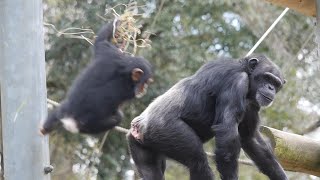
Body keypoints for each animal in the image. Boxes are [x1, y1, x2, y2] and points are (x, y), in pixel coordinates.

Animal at [127, 54, 288, 180]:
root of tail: (138, 127)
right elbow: (227, 132)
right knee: (197, 161)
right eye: (267, 77)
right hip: (165, 129)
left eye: (276, 83)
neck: (247, 75)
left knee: (151, 172)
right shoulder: (237, 81)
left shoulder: (253, 104)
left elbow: (250, 139)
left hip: (142, 145)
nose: (270, 88)